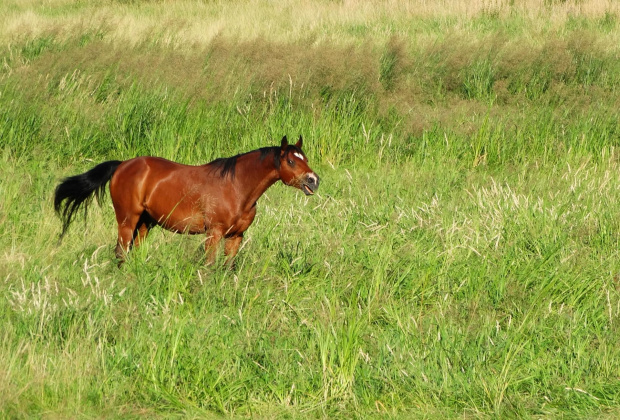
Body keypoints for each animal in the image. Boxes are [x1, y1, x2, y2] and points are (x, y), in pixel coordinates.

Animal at [53, 135, 320, 266]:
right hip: (127, 221)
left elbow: (229, 267)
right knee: (121, 252)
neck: (236, 187)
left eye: (305, 158)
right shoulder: (214, 233)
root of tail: (121, 166)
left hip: (145, 223)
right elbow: (209, 266)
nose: (314, 180)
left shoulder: (236, 236)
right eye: (291, 161)